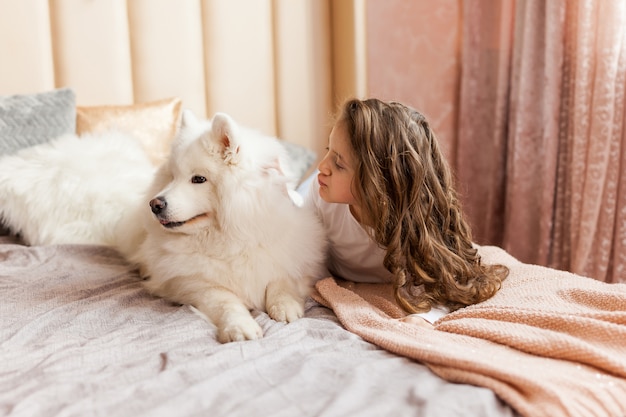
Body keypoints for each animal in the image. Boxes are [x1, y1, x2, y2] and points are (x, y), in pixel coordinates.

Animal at [122, 109, 326, 342]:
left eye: (198, 179)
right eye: (172, 177)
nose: (155, 204)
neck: (231, 237)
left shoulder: (288, 255)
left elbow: (281, 279)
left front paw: (285, 305)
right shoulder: (194, 284)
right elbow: (225, 302)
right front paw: (240, 327)